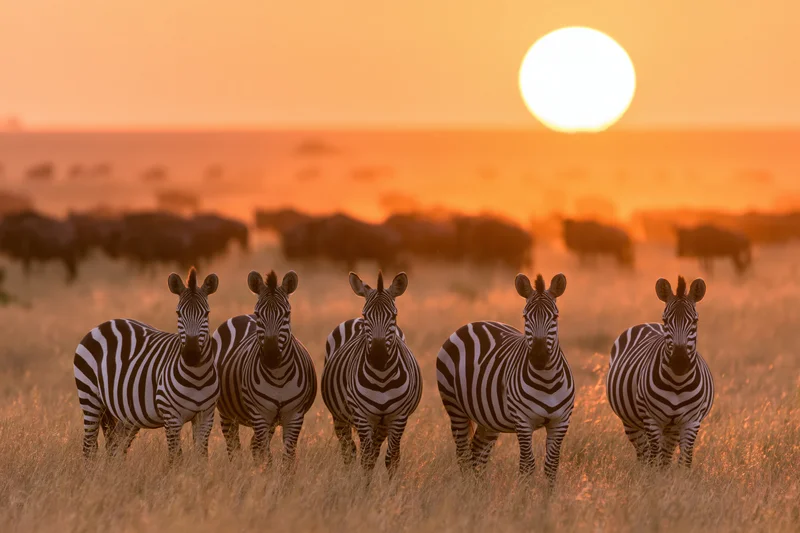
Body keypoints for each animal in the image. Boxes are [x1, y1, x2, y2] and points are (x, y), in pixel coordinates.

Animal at [73, 267, 220, 461]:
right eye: (178, 313)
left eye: (207, 314)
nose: (191, 355)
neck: (197, 376)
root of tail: (103, 324)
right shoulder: (171, 417)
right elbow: (176, 458)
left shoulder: (205, 416)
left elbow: (201, 457)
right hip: (89, 398)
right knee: (89, 447)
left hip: (127, 413)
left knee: (116, 446)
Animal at [212, 270, 317, 466]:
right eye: (258, 313)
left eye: (287, 313)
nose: (271, 356)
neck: (279, 376)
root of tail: (243, 315)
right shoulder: (260, 415)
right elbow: (267, 457)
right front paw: (266, 473)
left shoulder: (295, 416)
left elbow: (288, 458)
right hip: (227, 413)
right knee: (234, 447)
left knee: (253, 446)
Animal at [321, 271, 422, 475]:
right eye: (366, 314)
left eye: (394, 315)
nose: (378, 356)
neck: (382, 376)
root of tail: (354, 320)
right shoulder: (362, 416)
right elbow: (366, 459)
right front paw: (363, 484)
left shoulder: (398, 417)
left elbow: (392, 459)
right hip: (340, 417)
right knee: (349, 450)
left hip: (381, 423)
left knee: (373, 451)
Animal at [436, 273, 573, 486]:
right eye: (525, 317)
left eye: (555, 317)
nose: (539, 358)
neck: (547, 381)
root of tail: (473, 323)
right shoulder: (523, 421)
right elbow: (527, 466)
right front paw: (525, 495)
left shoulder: (560, 422)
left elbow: (551, 467)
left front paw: (547, 496)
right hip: (454, 407)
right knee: (463, 454)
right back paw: (467, 490)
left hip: (488, 417)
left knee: (478, 453)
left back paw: (479, 490)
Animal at [606, 276, 714, 467]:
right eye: (665, 321)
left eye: (695, 321)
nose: (679, 362)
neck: (678, 382)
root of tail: (647, 323)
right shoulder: (651, 419)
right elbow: (653, 456)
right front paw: (651, 475)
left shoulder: (692, 422)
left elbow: (685, 459)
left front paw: (680, 475)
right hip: (631, 423)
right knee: (644, 452)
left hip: (672, 428)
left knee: (666, 454)